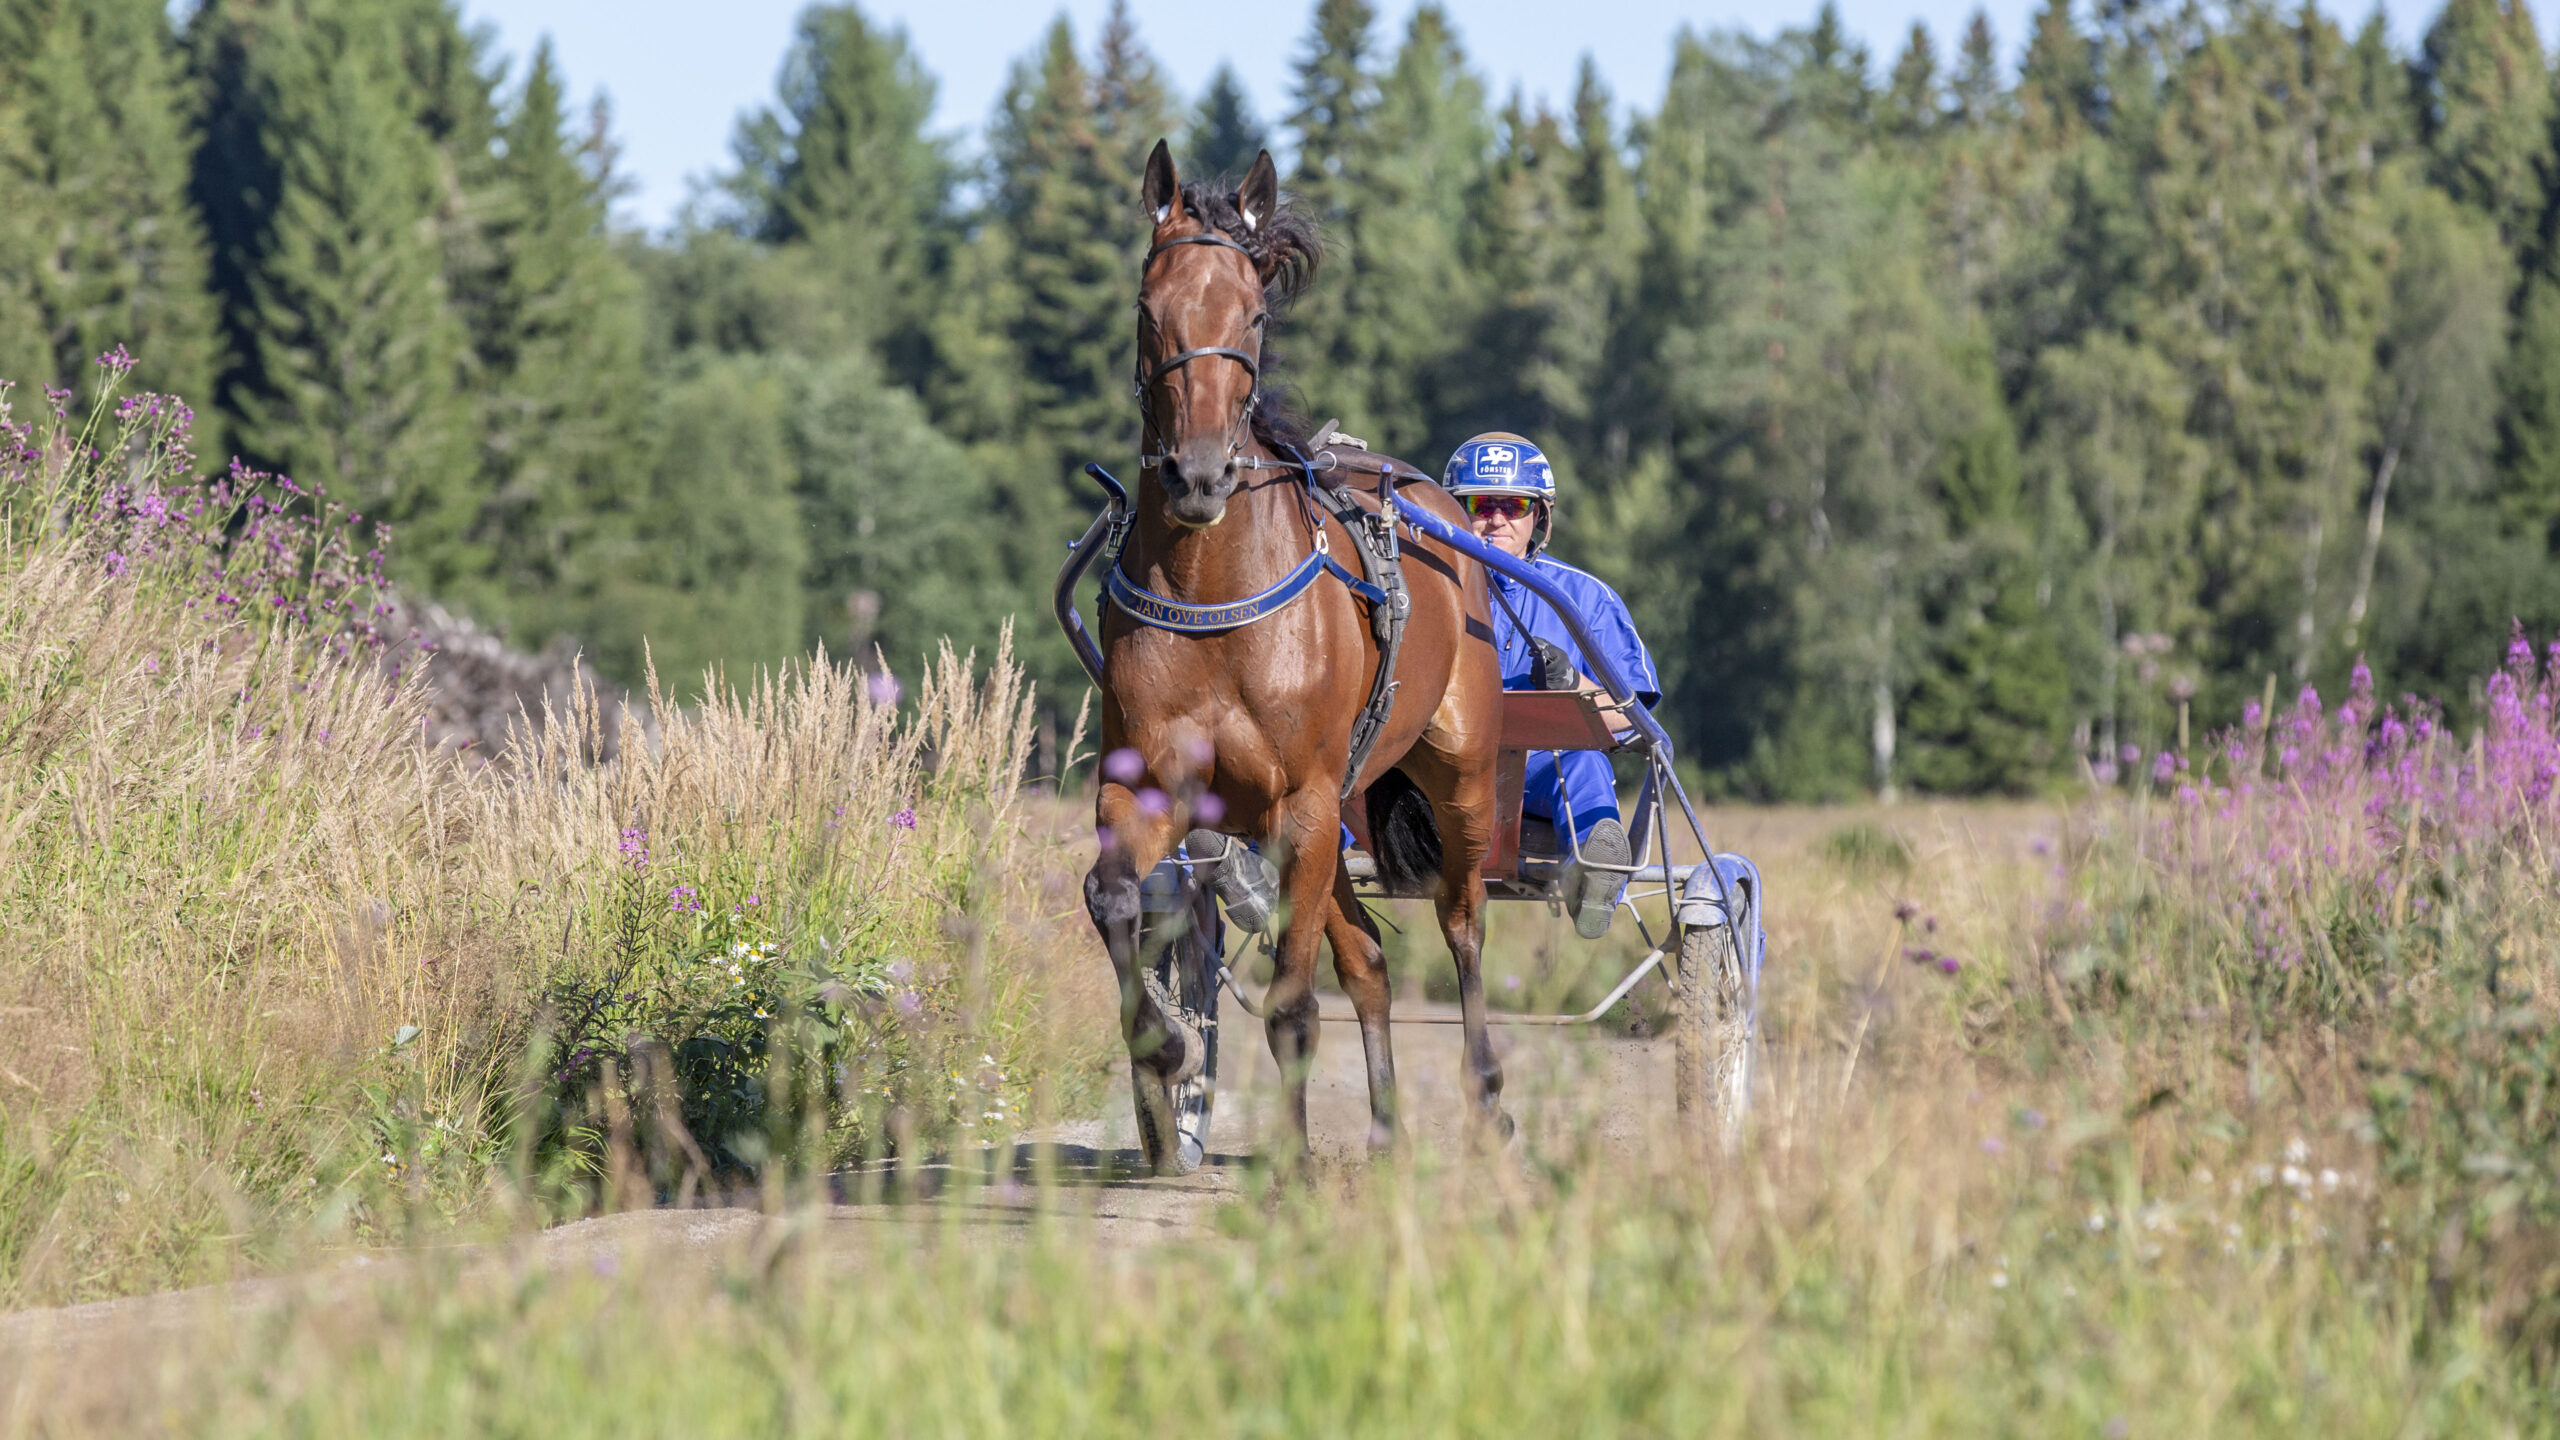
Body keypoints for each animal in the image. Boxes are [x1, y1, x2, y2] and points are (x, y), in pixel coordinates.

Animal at [1075, 142, 1505, 1168]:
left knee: (1463, 923)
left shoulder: (1302, 802)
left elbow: (1295, 1003)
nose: (1198, 474)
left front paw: (1297, 1164)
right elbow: (1112, 896)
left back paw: (1484, 1095)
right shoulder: (1156, 784)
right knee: (1372, 961)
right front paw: (1166, 1048)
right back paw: (1384, 1131)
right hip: (1343, 804)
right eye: (1150, 307)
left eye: (1255, 315)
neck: (1213, 589)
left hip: (1458, 775)